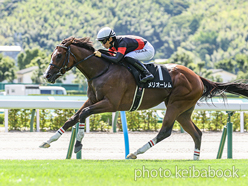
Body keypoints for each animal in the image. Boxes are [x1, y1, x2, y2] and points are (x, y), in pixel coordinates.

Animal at [39, 36, 248, 160]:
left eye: (58, 56)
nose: (47, 76)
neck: (102, 69)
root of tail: (197, 77)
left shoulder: (111, 104)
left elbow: (84, 115)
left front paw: (78, 144)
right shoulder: (92, 100)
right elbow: (73, 117)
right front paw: (48, 141)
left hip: (176, 105)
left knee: (165, 131)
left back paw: (135, 152)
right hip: (184, 110)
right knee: (197, 133)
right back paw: (195, 159)